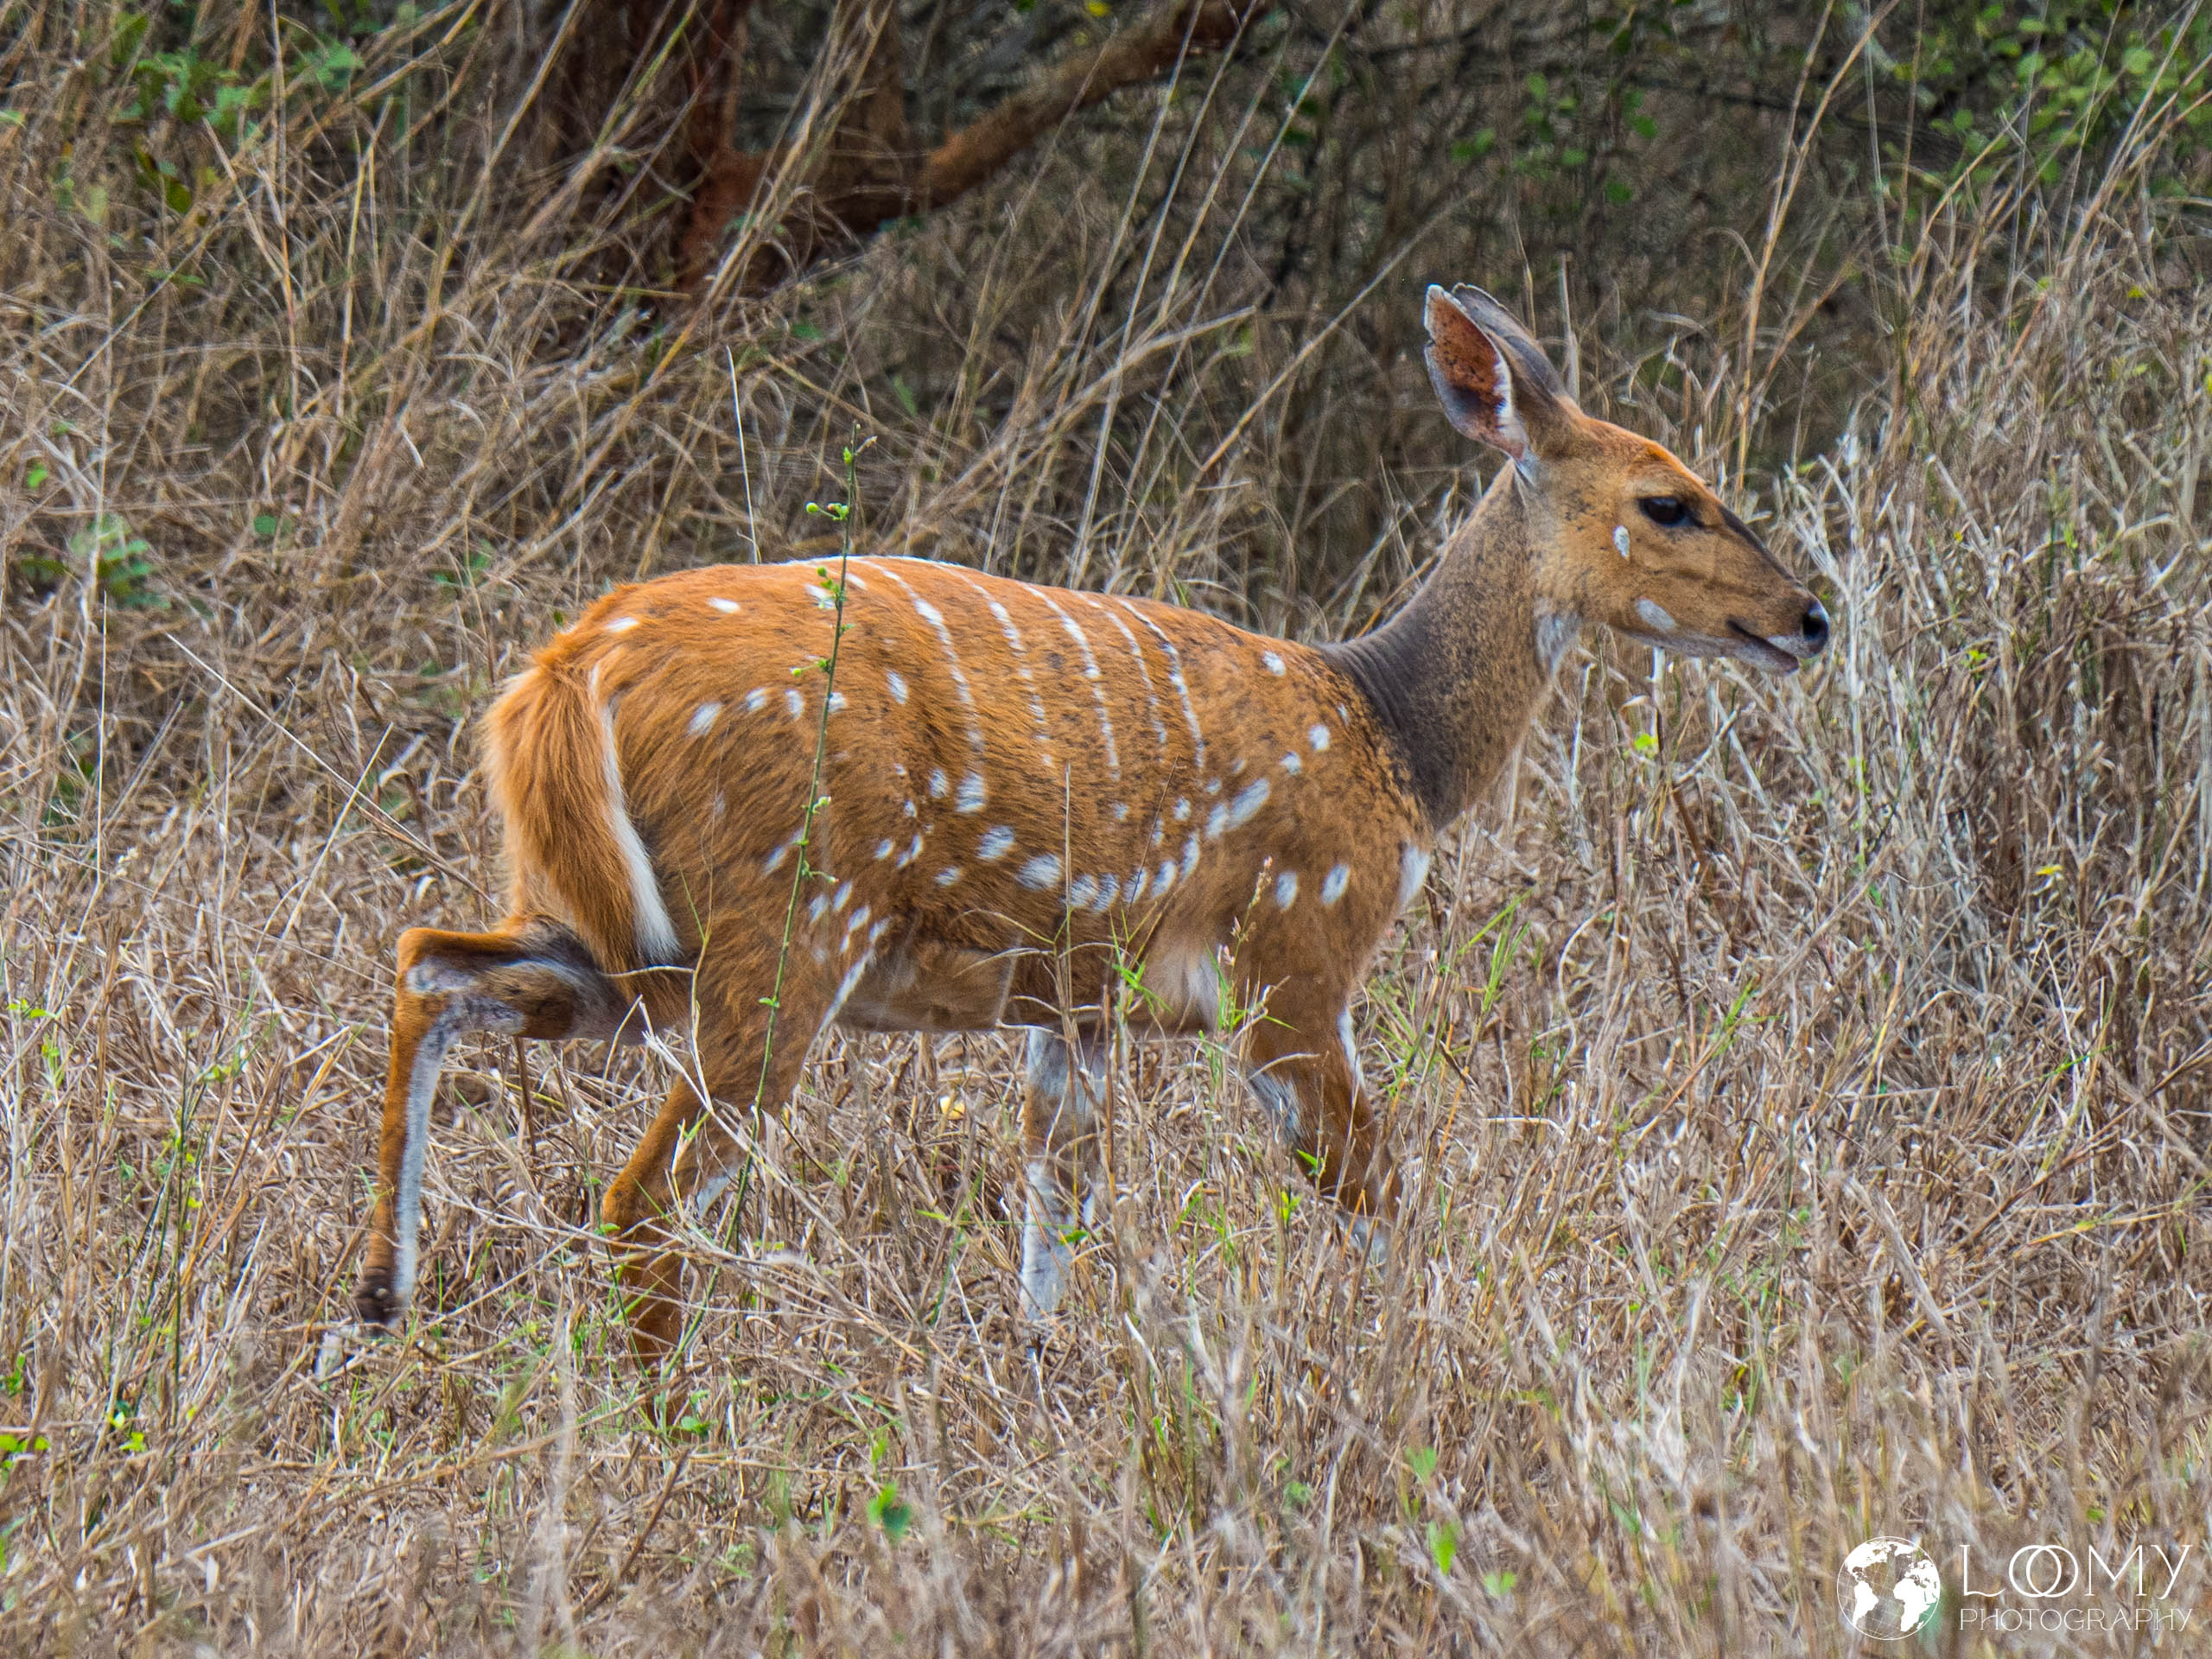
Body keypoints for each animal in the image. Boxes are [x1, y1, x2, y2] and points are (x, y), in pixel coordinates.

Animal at [354, 286, 1830, 1364]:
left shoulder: (1076, 1009)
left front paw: (1041, 1375)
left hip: (615, 929)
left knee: (430, 963)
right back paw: (661, 1417)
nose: (1809, 616)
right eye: (1667, 501)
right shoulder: (1294, 962)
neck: (1392, 737)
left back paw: (373, 1308)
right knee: (641, 1194)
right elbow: (1383, 1198)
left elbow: (1049, 1224)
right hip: (785, 930)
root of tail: (562, 675)